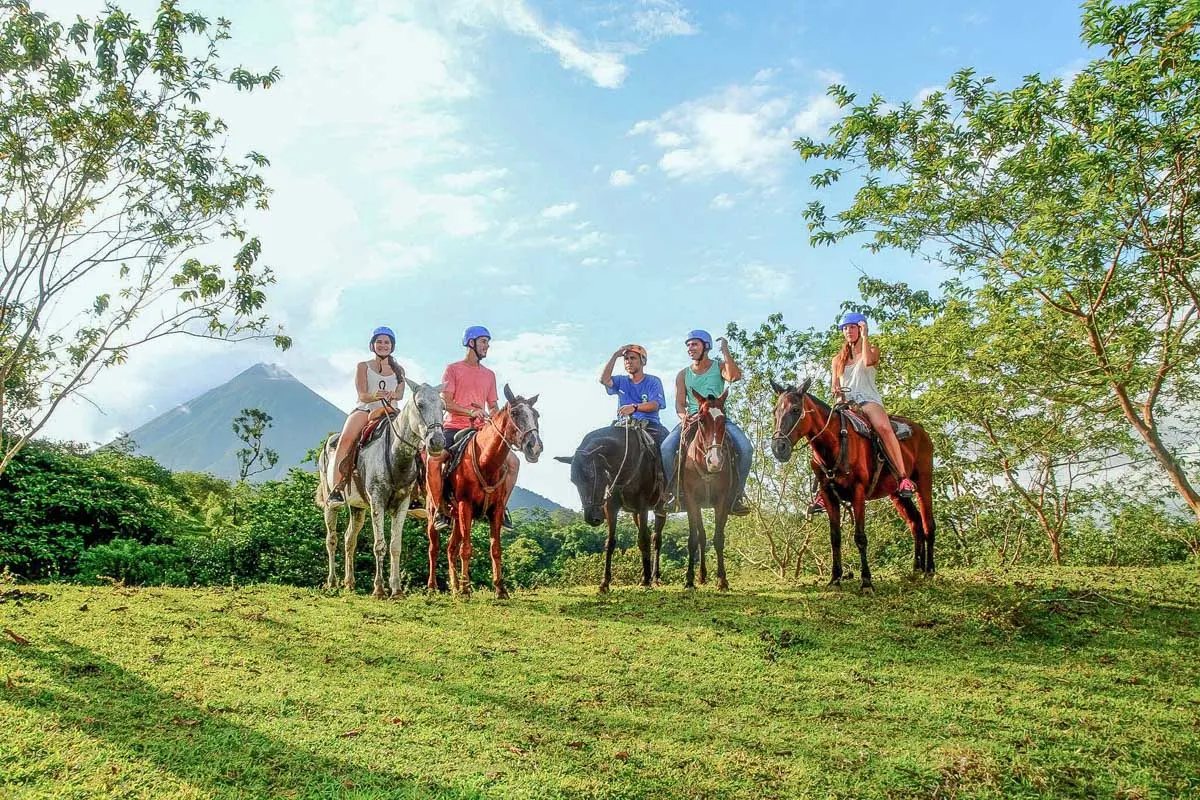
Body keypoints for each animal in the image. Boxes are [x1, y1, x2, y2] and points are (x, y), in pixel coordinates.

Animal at [316, 379, 448, 597]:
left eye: (443, 407)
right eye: (420, 405)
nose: (437, 441)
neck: (396, 455)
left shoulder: (402, 504)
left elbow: (395, 546)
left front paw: (396, 590)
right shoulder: (377, 501)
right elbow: (379, 545)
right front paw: (379, 588)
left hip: (357, 507)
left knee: (349, 539)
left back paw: (349, 583)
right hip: (330, 505)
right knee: (331, 539)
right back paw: (332, 582)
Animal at [424, 383, 542, 599]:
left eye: (536, 414)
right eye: (514, 413)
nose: (535, 447)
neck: (485, 461)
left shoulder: (496, 509)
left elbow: (495, 549)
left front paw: (500, 589)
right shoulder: (466, 505)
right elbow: (466, 549)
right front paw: (466, 589)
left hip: (457, 518)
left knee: (450, 549)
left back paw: (455, 587)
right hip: (434, 513)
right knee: (434, 548)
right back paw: (433, 587)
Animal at [556, 419, 672, 594]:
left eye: (591, 476)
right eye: (573, 480)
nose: (592, 518)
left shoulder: (643, 506)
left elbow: (643, 540)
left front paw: (646, 581)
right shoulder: (611, 507)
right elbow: (610, 542)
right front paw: (605, 582)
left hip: (660, 508)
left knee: (656, 539)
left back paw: (655, 578)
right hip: (635, 514)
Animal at [681, 391, 734, 592]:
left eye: (724, 419)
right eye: (701, 420)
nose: (715, 461)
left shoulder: (722, 500)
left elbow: (718, 539)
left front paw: (722, 580)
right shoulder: (691, 500)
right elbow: (693, 539)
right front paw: (689, 580)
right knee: (701, 537)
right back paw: (701, 576)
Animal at [768, 379, 936, 592]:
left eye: (796, 409)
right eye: (775, 411)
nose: (778, 447)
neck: (835, 443)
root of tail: (921, 431)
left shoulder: (858, 493)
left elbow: (860, 537)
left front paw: (866, 582)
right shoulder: (829, 494)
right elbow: (835, 538)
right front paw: (835, 579)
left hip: (924, 481)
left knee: (928, 524)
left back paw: (929, 570)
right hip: (897, 493)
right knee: (915, 523)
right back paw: (916, 570)